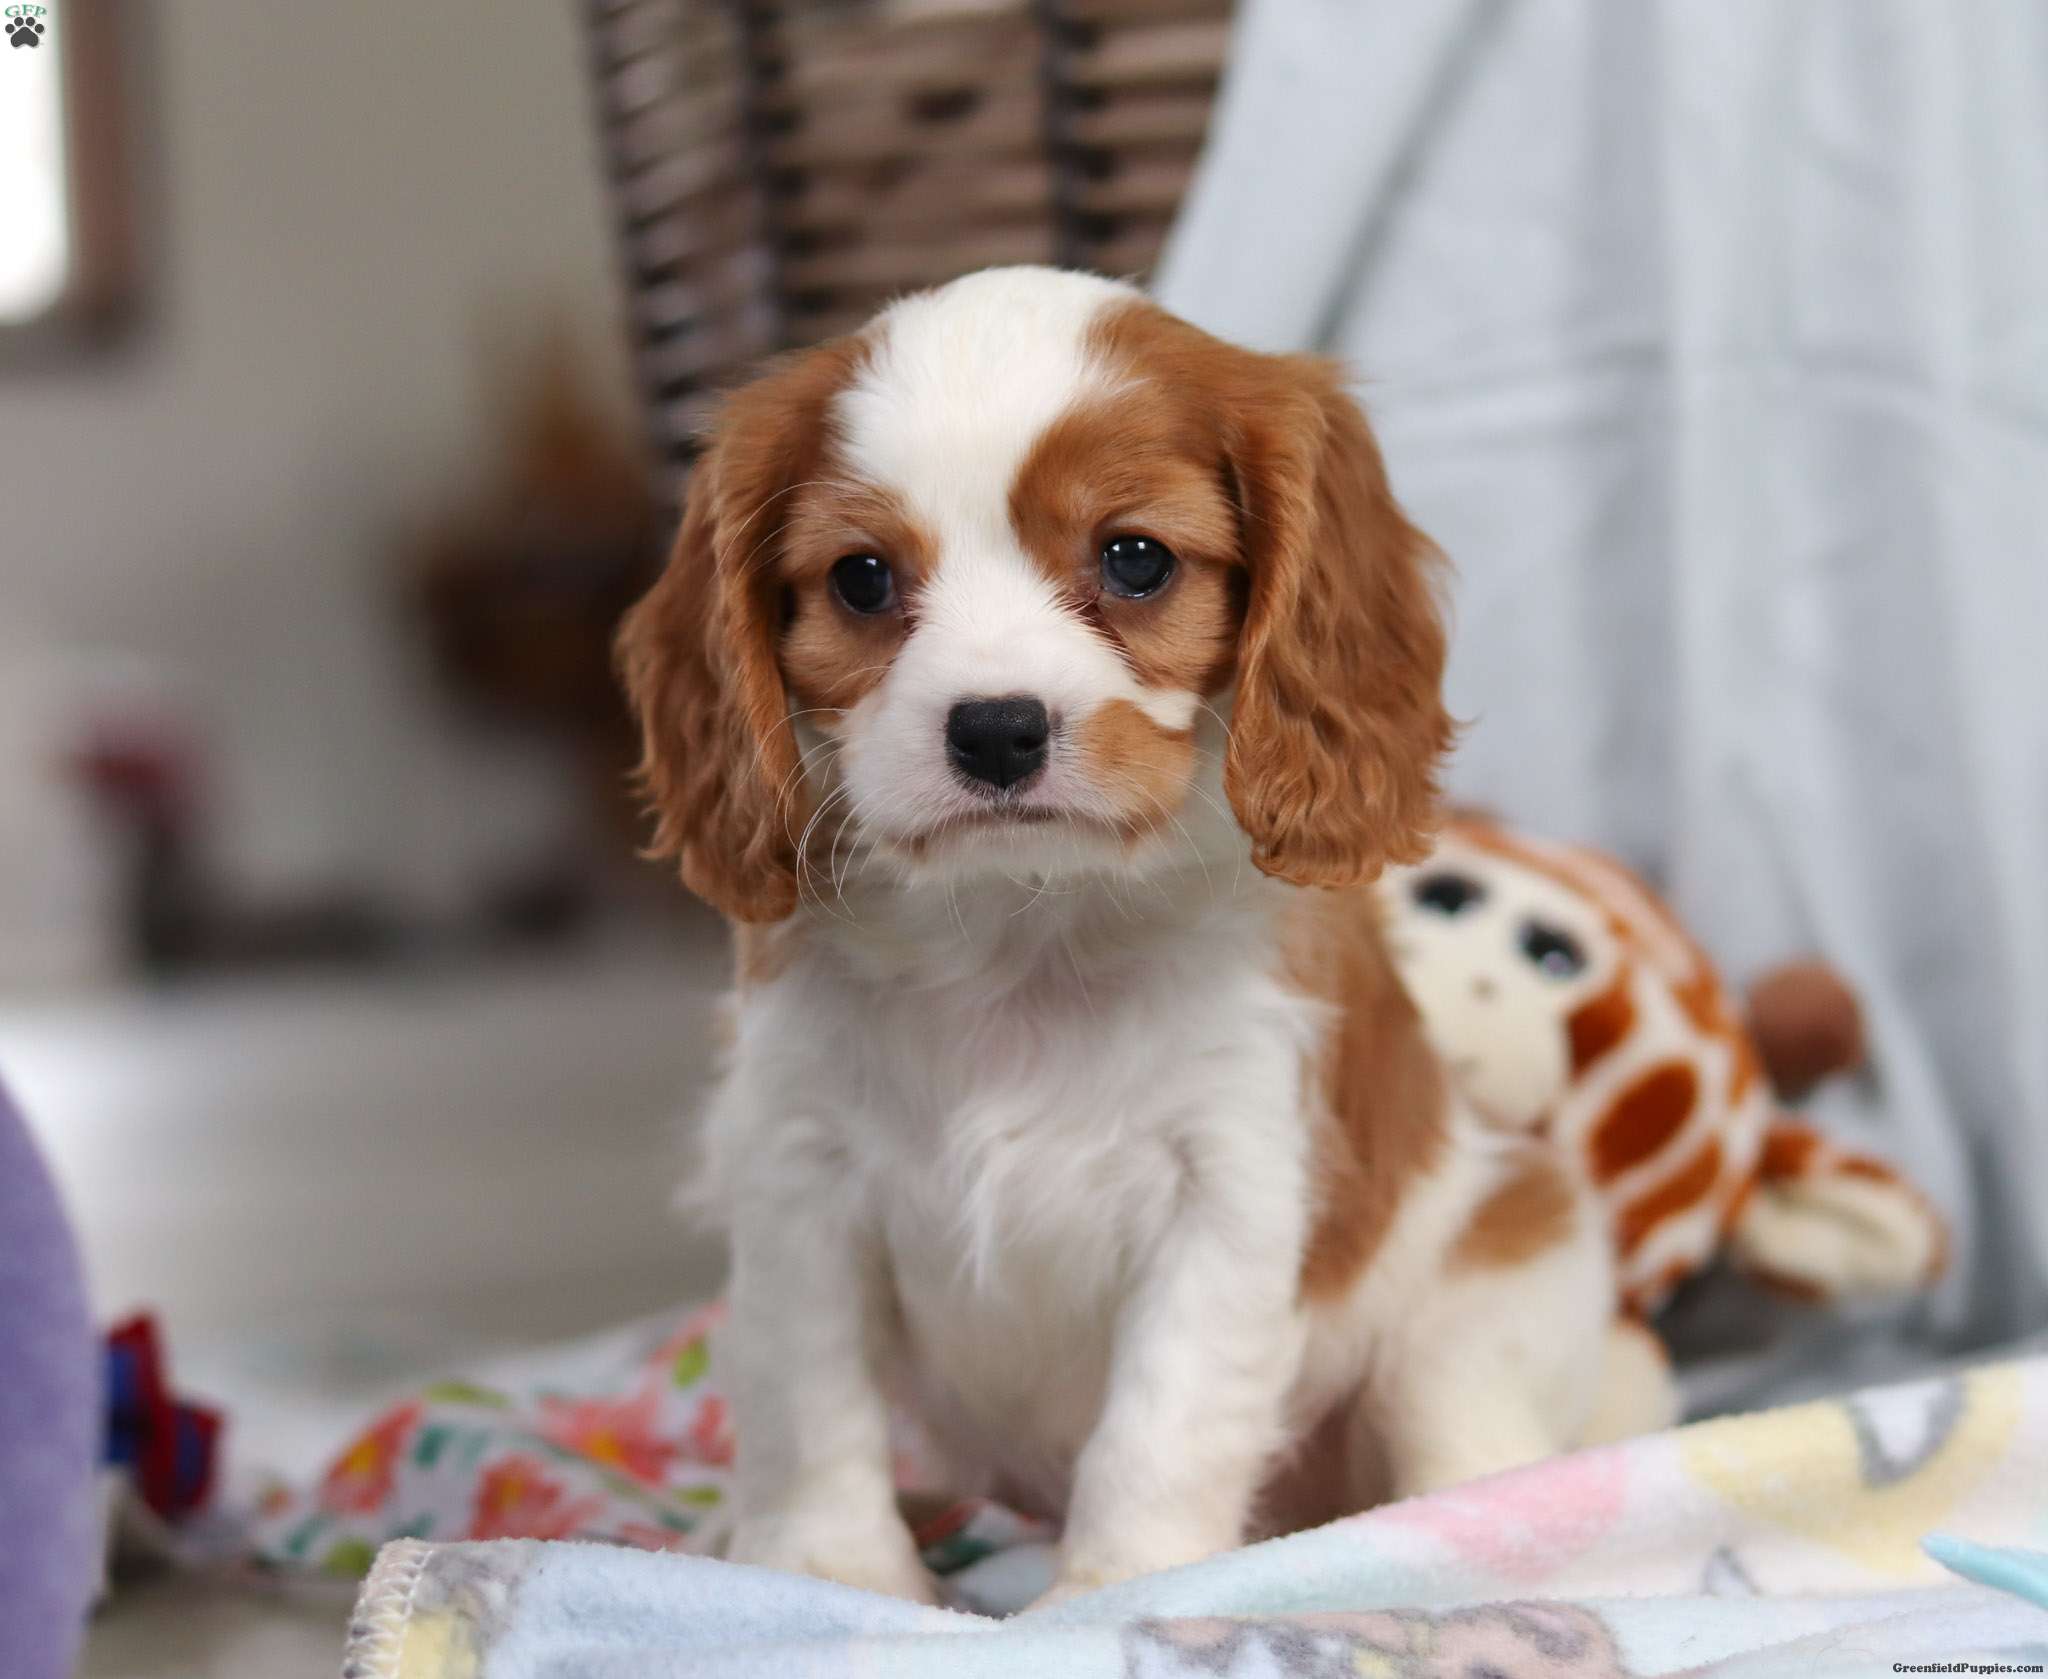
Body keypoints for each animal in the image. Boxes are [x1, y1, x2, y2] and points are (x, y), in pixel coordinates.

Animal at [618, 268, 1613, 1605]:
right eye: (862, 580)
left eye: (1133, 558)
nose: (994, 726)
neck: (1024, 920)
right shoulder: (795, 1174)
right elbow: (806, 1393)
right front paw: (829, 1570)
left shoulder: (1226, 1186)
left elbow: (1162, 1418)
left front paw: (1115, 1591)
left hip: (1495, 1269)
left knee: (1466, 1434)